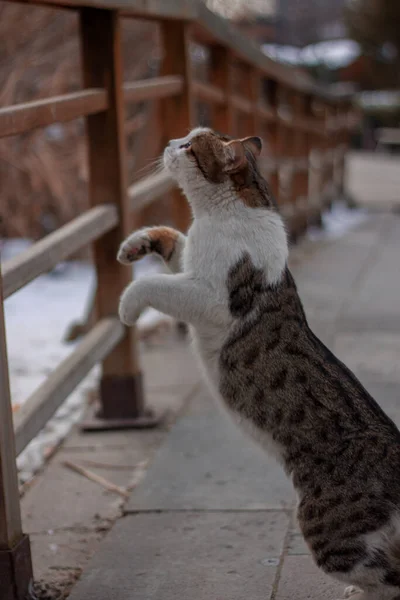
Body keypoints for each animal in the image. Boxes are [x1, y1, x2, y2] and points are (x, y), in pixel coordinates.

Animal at [117, 127, 400, 600]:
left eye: (190, 147)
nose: (171, 142)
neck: (223, 211)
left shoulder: (207, 296)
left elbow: (154, 284)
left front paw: (127, 306)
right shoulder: (190, 264)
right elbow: (173, 239)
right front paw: (134, 243)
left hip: (327, 529)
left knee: (388, 575)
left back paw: (361, 592)